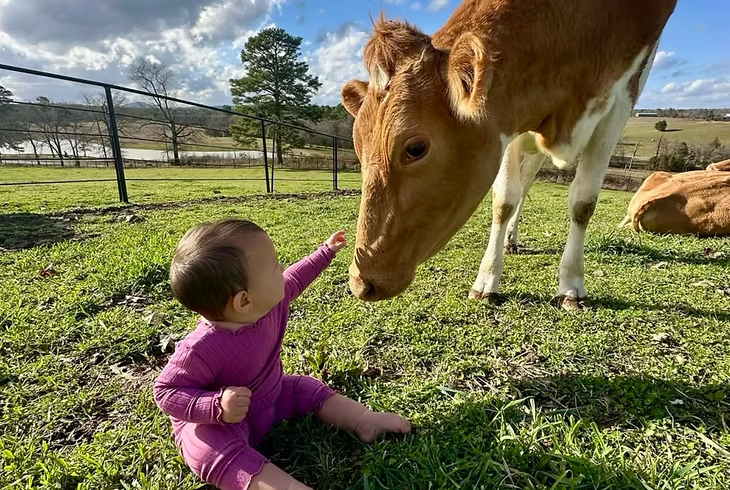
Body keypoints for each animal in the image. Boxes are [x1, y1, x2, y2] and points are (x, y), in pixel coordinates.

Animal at [340, 0, 677, 309]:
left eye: (415, 148)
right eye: (358, 146)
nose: (360, 282)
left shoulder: (624, 95)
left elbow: (583, 203)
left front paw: (571, 285)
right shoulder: (505, 118)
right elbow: (504, 200)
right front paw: (487, 280)